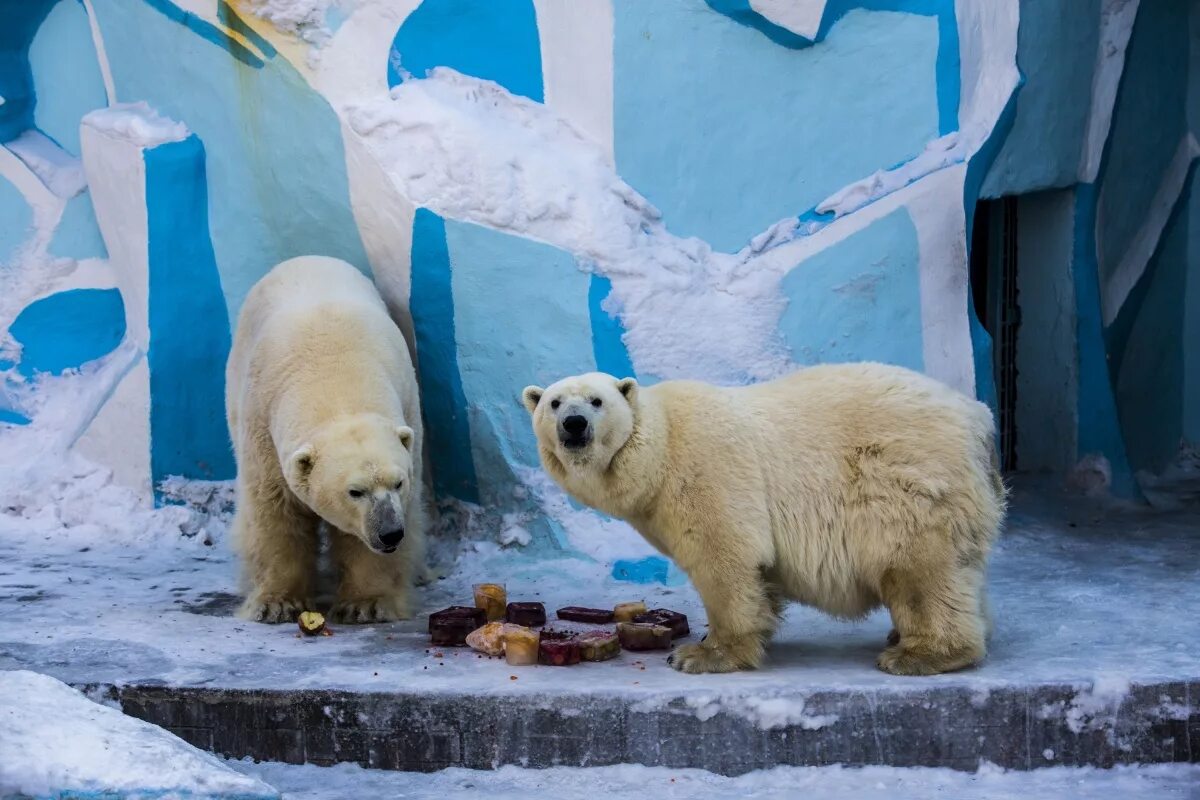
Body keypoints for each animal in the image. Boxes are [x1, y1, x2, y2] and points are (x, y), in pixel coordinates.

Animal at [226, 256, 429, 623]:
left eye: (398, 483)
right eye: (355, 491)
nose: (390, 533)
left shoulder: (409, 411)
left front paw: (367, 603)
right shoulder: (261, 425)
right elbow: (275, 512)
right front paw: (277, 603)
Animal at [523, 364, 1003, 676]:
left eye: (597, 401)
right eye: (554, 402)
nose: (574, 424)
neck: (658, 448)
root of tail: (978, 419)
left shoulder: (705, 469)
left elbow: (725, 557)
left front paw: (702, 655)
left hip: (906, 477)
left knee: (916, 566)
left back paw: (919, 654)